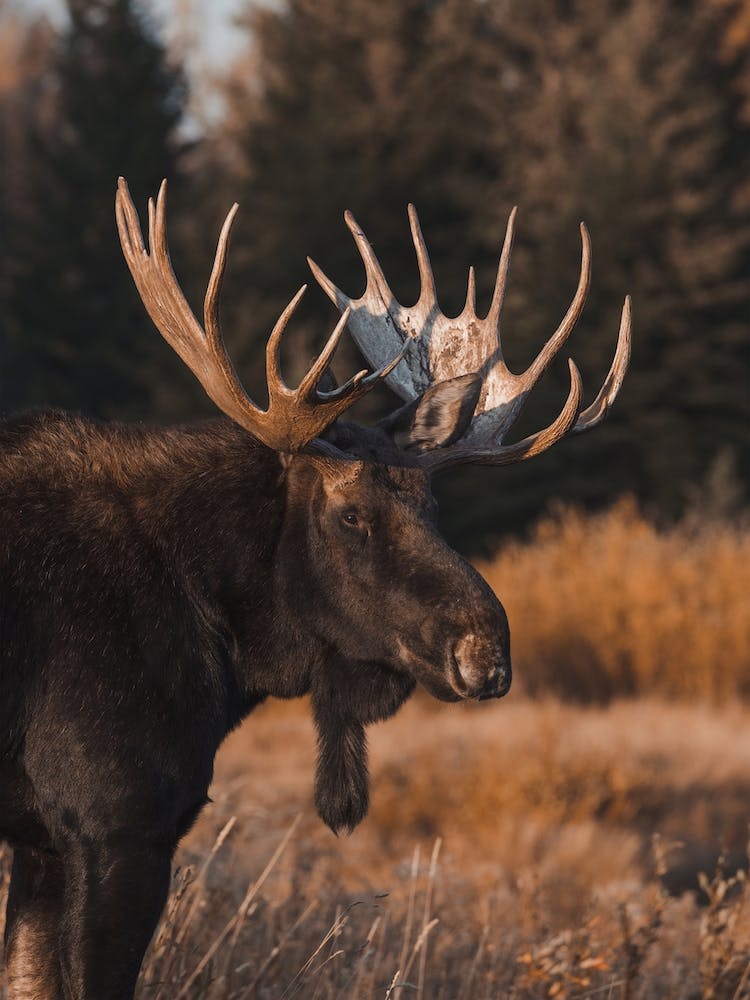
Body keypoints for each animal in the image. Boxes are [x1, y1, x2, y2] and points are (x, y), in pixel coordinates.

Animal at [0, 177, 630, 999]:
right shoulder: (114, 818)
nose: (487, 654)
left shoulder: (43, 837)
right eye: (351, 513)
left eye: (432, 504)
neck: (223, 638)